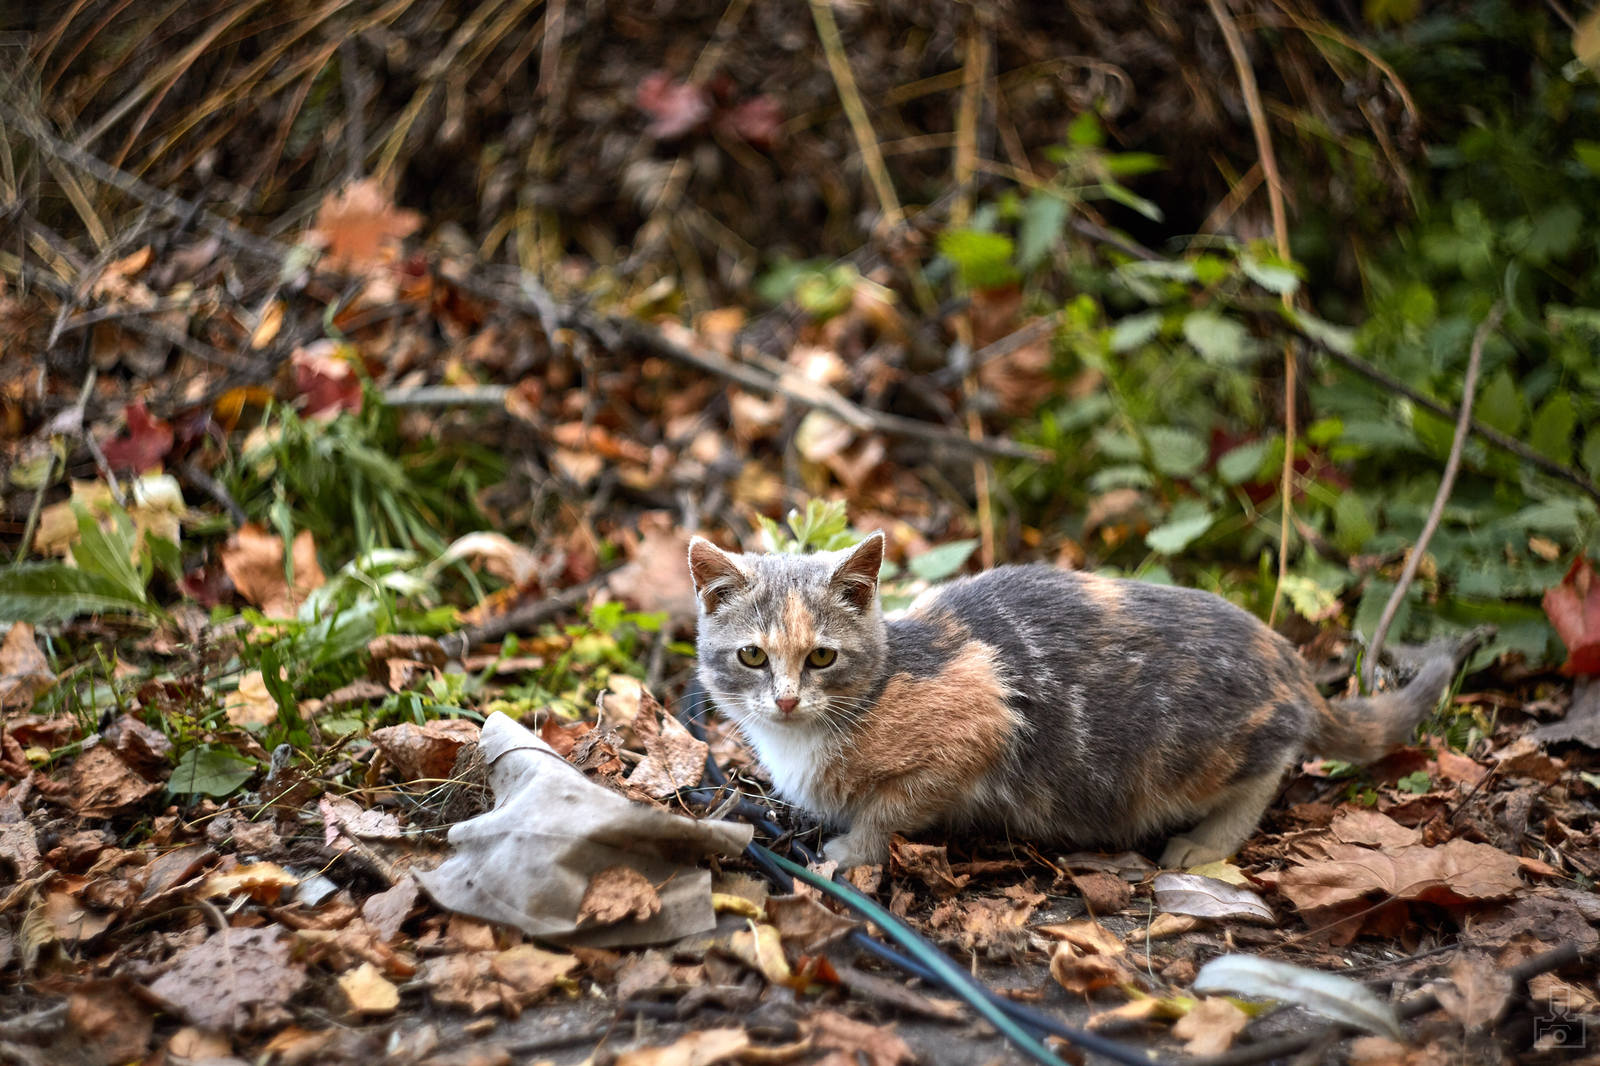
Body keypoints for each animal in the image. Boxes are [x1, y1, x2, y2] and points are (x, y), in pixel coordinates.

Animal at [688, 528, 1472, 870]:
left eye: (821, 657)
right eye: (753, 656)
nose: (787, 701)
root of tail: (1285, 655)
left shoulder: (981, 722)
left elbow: (892, 806)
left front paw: (854, 850)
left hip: (1200, 748)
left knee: (1274, 759)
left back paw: (1207, 841)